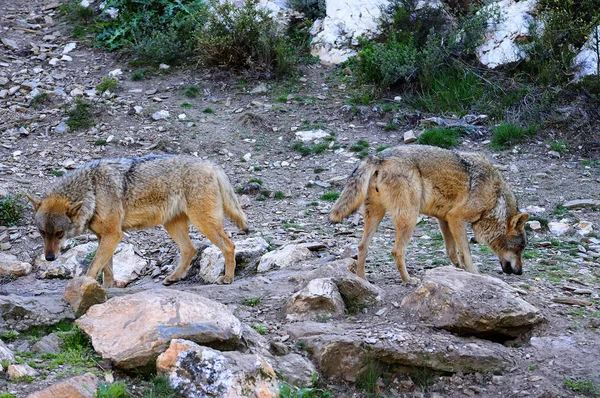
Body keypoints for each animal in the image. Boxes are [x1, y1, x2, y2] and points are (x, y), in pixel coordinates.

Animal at [27, 154, 247, 288]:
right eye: (42, 233)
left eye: (59, 234)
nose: (49, 258)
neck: (92, 189)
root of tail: (211, 164)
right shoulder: (103, 236)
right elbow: (106, 268)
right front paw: (104, 289)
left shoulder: (114, 234)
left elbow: (94, 266)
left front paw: (83, 287)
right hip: (172, 225)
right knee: (190, 249)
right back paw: (173, 277)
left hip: (203, 223)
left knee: (230, 246)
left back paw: (228, 278)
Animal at [328, 145, 528, 282]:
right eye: (520, 248)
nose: (520, 272)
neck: (495, 199)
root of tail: (379, 157)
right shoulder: (457, 218)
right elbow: (466, 252)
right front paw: (474, 273)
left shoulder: (445, 219)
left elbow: (452, 251)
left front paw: (460, 270)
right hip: (410, 218)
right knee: (396, 250)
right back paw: (408, 280)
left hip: (376, 215)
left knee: (362, 247)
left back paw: (363, 280)